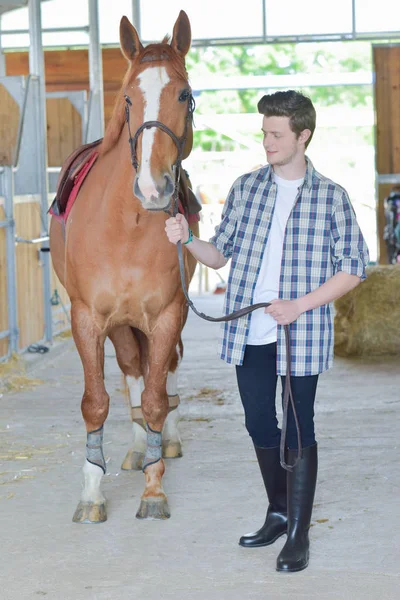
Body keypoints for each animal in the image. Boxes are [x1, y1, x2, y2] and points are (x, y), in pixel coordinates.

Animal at [49, 11, 198, 524]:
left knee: (163, 371)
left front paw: (154, 489)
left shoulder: (170, 313)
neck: (127, 226)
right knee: (134, 367)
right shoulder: (88, 318)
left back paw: (164, 443)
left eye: (184, 94)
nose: (154, 187)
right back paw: (136, 450)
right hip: (119, 324)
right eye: (130, 97)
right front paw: (92, 492)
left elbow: (155, 397)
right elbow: (96, 403)